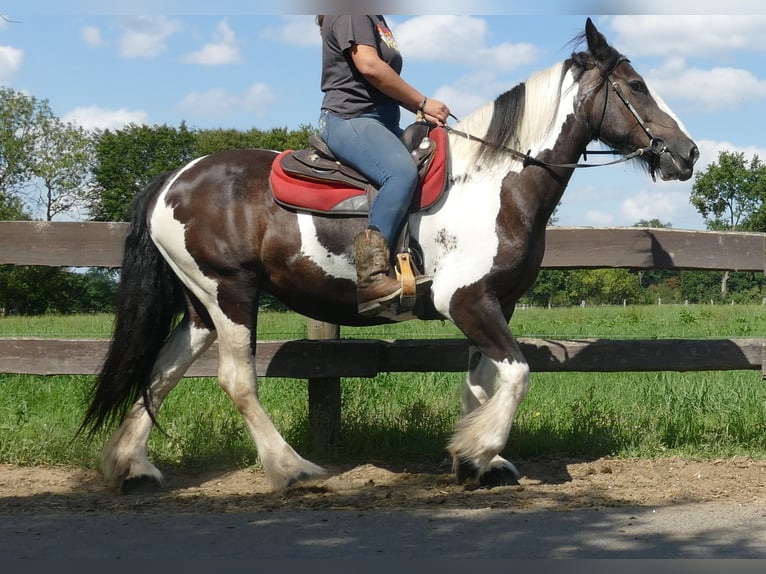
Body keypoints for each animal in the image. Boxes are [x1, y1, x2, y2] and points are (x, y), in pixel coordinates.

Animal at [81, 18, 698, 493]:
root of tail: (171, 180)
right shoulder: (467, 300)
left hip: (201, 305)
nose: (688, 152)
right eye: (637, 85)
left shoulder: (494, 303)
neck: (497, 182)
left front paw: (475, 459)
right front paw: (481, 450)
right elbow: (518, 373)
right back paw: (291, 469)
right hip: (231, 292)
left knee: (162, 371)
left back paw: (130, 466)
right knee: (236, 380)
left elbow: (482, 380)